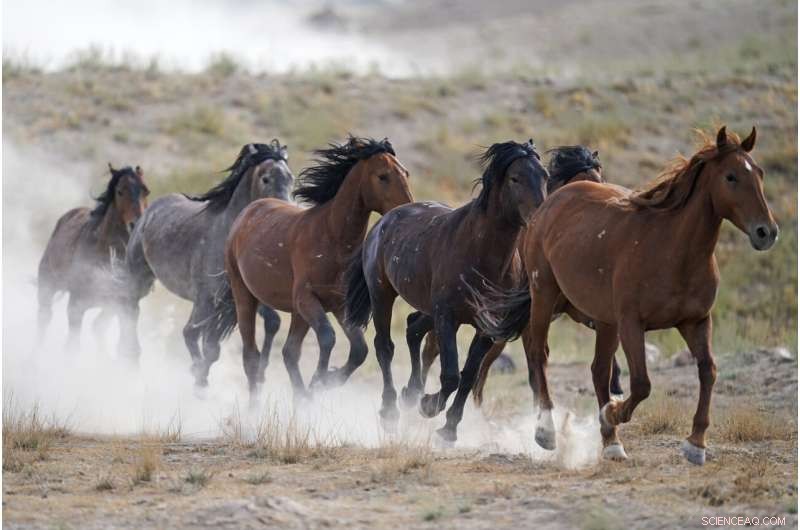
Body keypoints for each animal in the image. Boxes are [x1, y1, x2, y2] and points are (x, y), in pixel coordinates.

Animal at [38, 164, 149, 350]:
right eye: (120, 191)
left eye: (146, 191)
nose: (136, 224)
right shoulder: (76, 305)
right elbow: (72, 345)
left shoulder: (127, 306)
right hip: (47, 286)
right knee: (44, 318)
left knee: (98, 328)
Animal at [122, 140, 293, 385]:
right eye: (266, 178)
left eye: (291, 178)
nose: (285, 213)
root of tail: (152, 209)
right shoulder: (207, 299)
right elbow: (198, 339)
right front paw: (199, 378)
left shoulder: (234, 302)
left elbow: (267, 325)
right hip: (138, 276)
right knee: (132, 311)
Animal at [220, 137, 412, 403]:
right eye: (383, 176)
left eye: (405, 172)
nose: (407, 209)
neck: (331, 237)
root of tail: (248, 211)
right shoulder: (307, 298)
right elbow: (327, 338)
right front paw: (318, 381)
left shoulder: (339, 305)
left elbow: (359, 350)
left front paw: (322, 382)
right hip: (245, 295)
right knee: (251, 356)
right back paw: (255, 406)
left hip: (297, 313)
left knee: (289, 352)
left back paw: (301, 398)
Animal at [344, 140, 548, 443]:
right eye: (515, 178)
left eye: (545, 176)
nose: (539, 219)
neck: (480, 254)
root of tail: (384, 220)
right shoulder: (447, 317)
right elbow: (451, 375)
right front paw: (429, 406)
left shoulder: (487, 326)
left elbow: (469, 374)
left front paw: (448, 428)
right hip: (382, 295)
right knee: (385, 347)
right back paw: (391, 411)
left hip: (428, 308)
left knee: (412, 328)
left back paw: (411, 393)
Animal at [471, 127, 777, 465]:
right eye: (731, 177)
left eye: (759, 173)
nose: (766, 232)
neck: (673, 249)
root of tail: (547, 206)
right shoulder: (632, 323)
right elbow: (642, 383)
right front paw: (613, 414)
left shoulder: (695, 321)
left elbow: (708, 371)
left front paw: (696, 444)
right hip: (545, 295)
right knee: (538, 355)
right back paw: (547, 432)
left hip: (604, 321)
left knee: (597, 370)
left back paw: (611, 443)